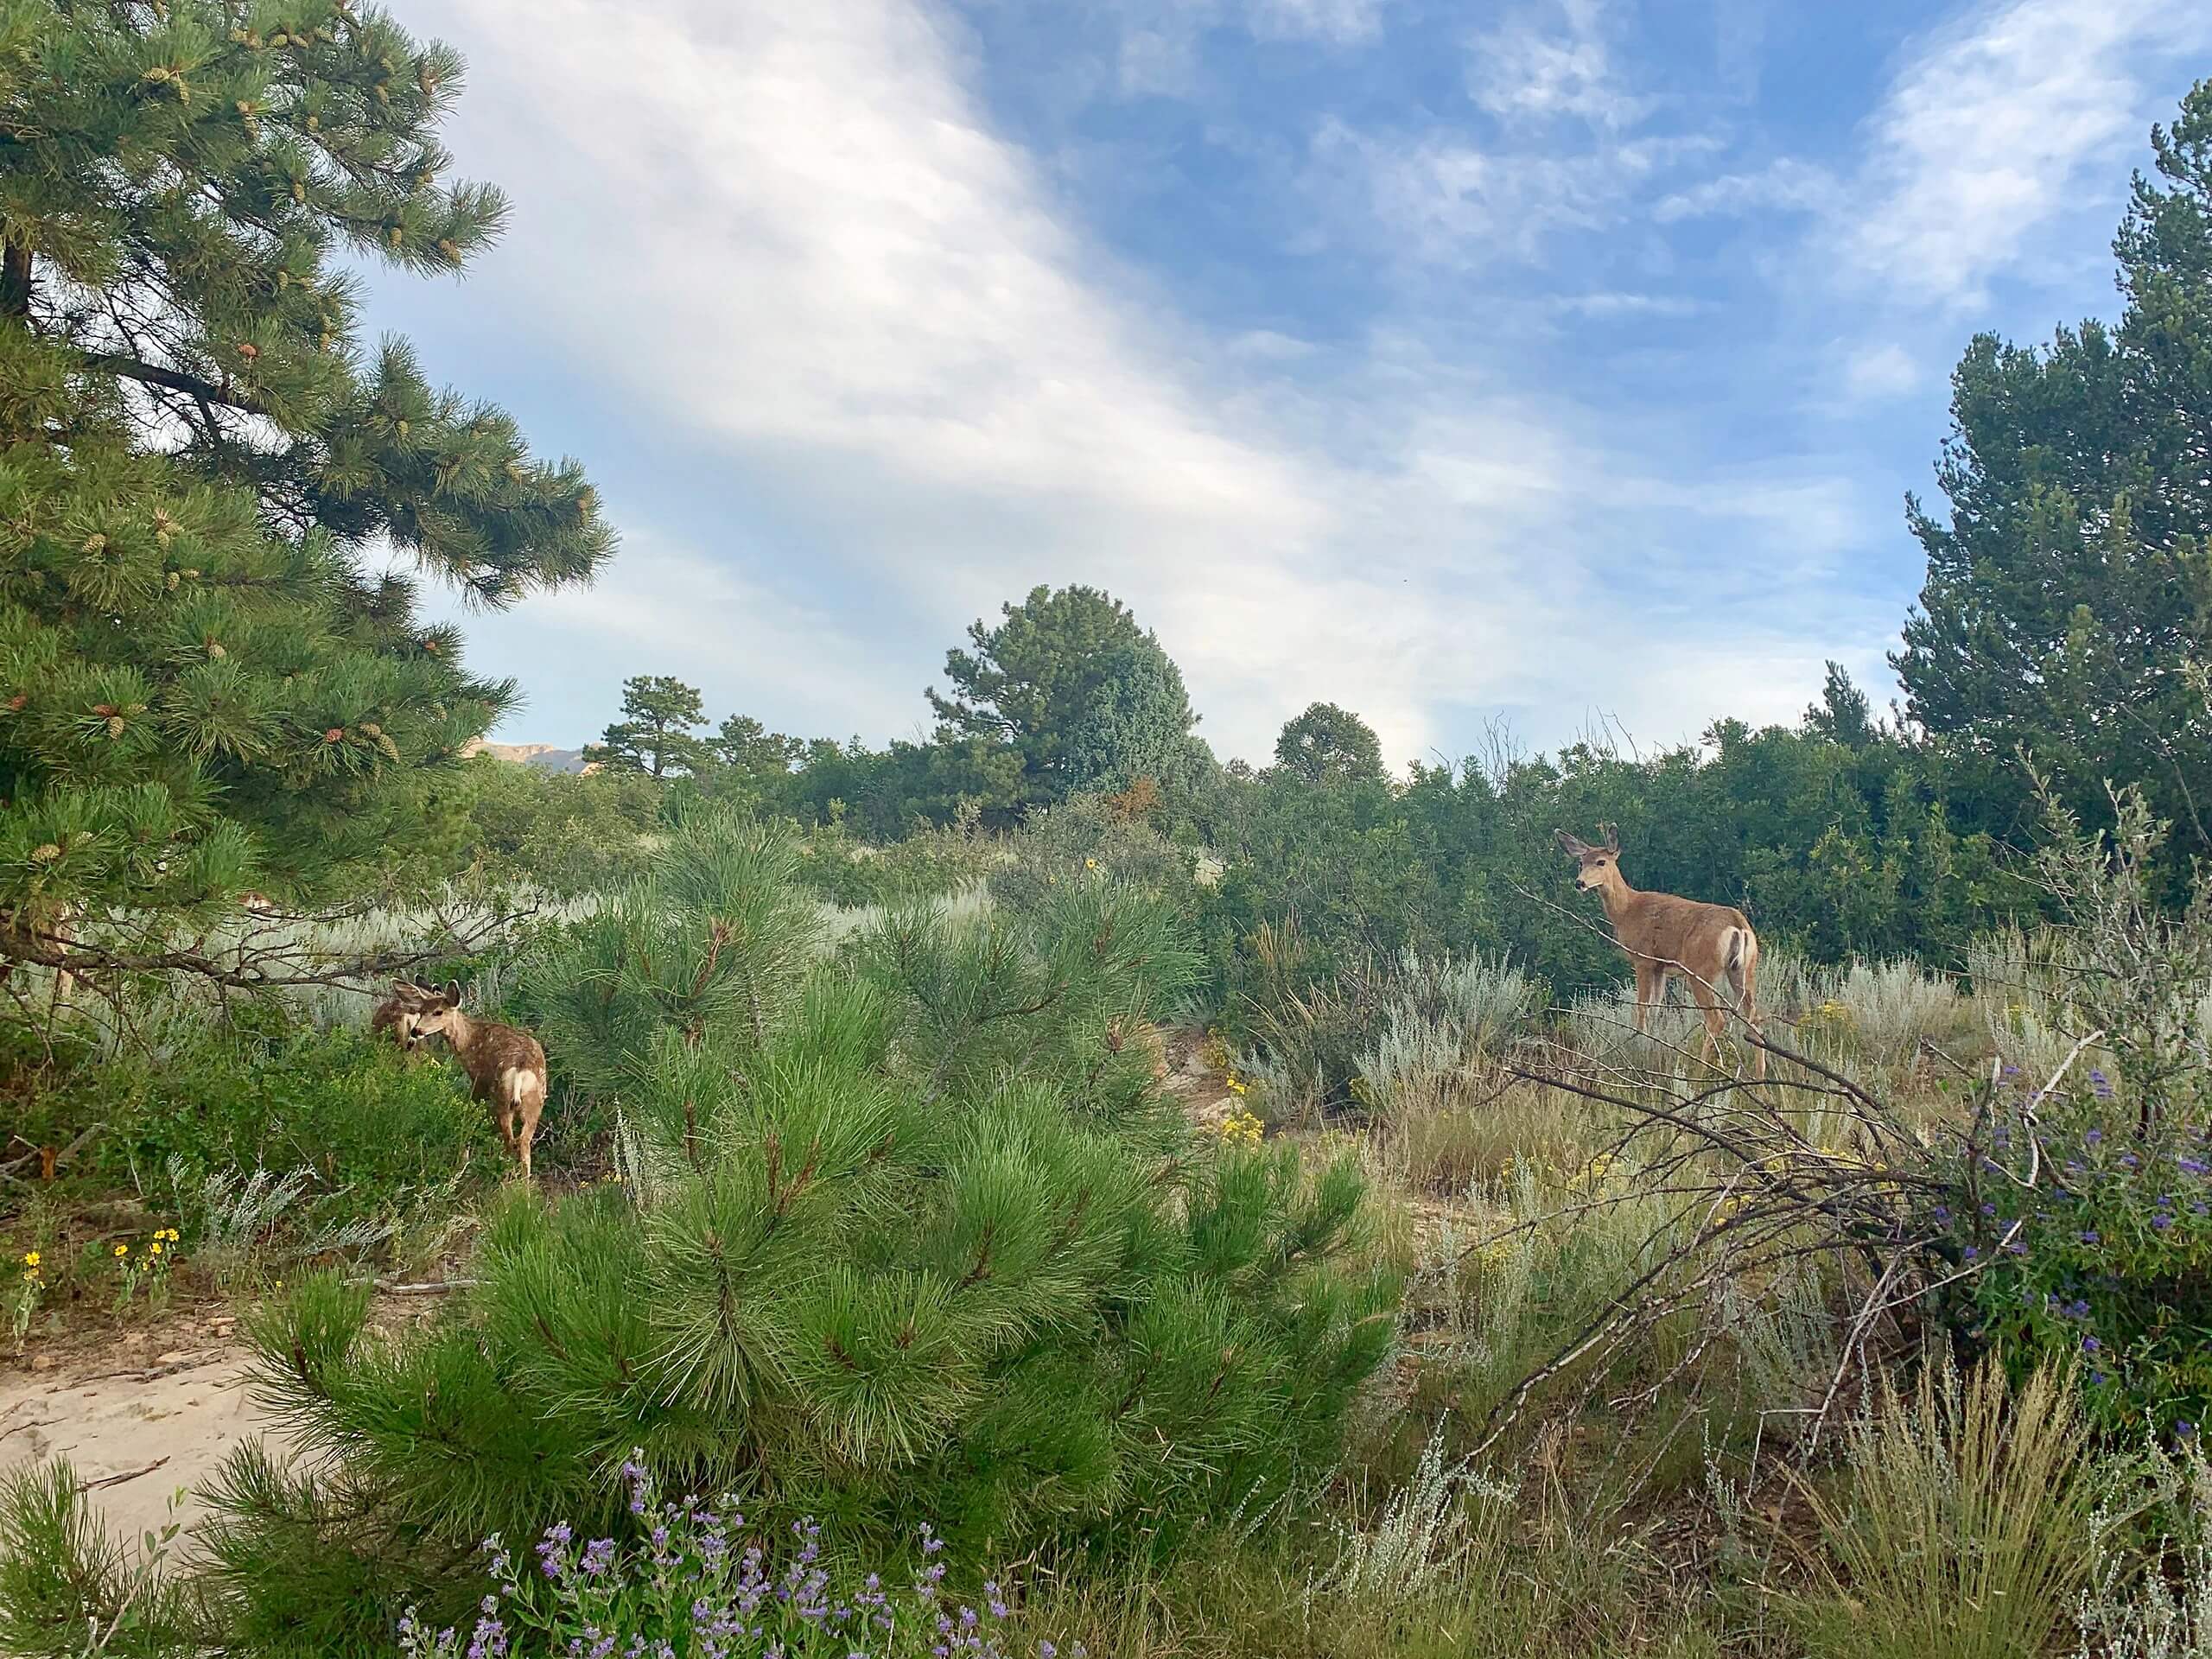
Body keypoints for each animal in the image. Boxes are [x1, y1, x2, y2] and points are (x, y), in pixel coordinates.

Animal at [411, 973, 557, 1185]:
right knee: (522, 1142)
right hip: (534, 1102)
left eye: (438, 1012)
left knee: (512, 1141)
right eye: (421, 1010)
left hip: (502, 1098)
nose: (416, 1031)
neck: (469, 1041)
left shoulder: (478, 1080)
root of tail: (521, 1070)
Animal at [1566, 827, 1770, 1084]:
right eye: (1581, 862)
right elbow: (1656, 1009)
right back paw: (1760, 1079)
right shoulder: (1660, 966)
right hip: (1744, 970)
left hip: (1700, 970)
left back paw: (1698, 1073)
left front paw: (1639, 1050)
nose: (1579, 883)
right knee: (1755, 1018)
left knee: (1717, 1020)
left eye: (1601, 861)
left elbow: (1642, 1010)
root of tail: (1739, 926)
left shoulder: (1643, 958)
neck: (1626, 910)